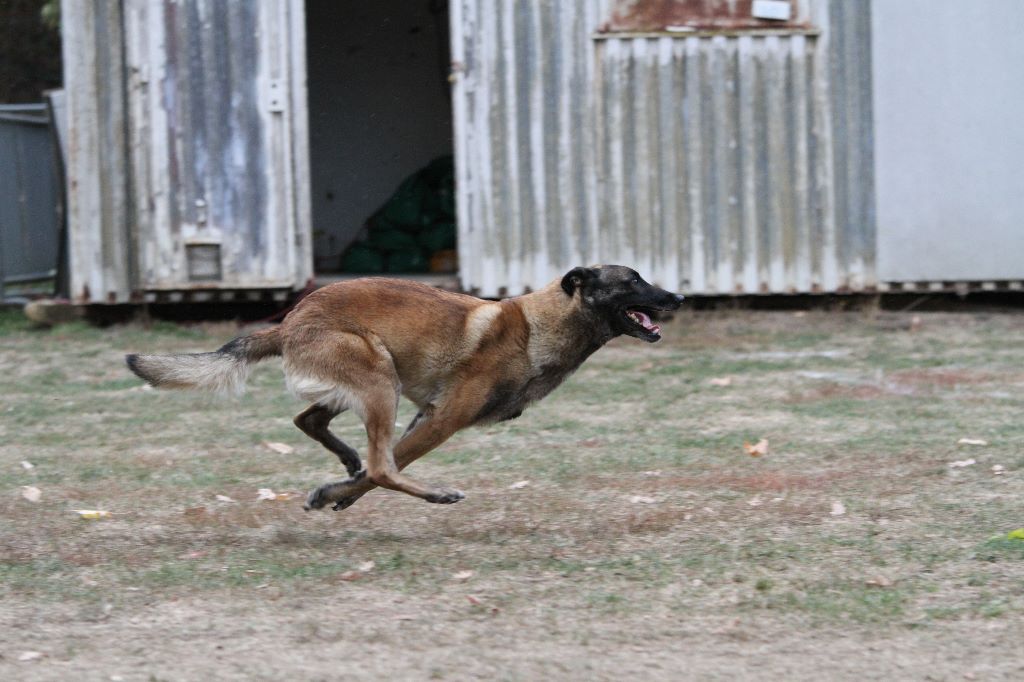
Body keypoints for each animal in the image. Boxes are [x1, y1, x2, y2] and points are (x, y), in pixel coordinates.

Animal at [130, 266, 688, 509]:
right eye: (632, 280)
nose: (680, 297)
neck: (540, 326)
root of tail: (288, 321)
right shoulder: (442, 418)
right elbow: (390, 466)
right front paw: (336, 495)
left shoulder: (425, 414)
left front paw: (340, 492)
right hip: (381, 379)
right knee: (381, 464)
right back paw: (433, 493)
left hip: (368, 383)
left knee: (310, 420)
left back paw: (347, 460)